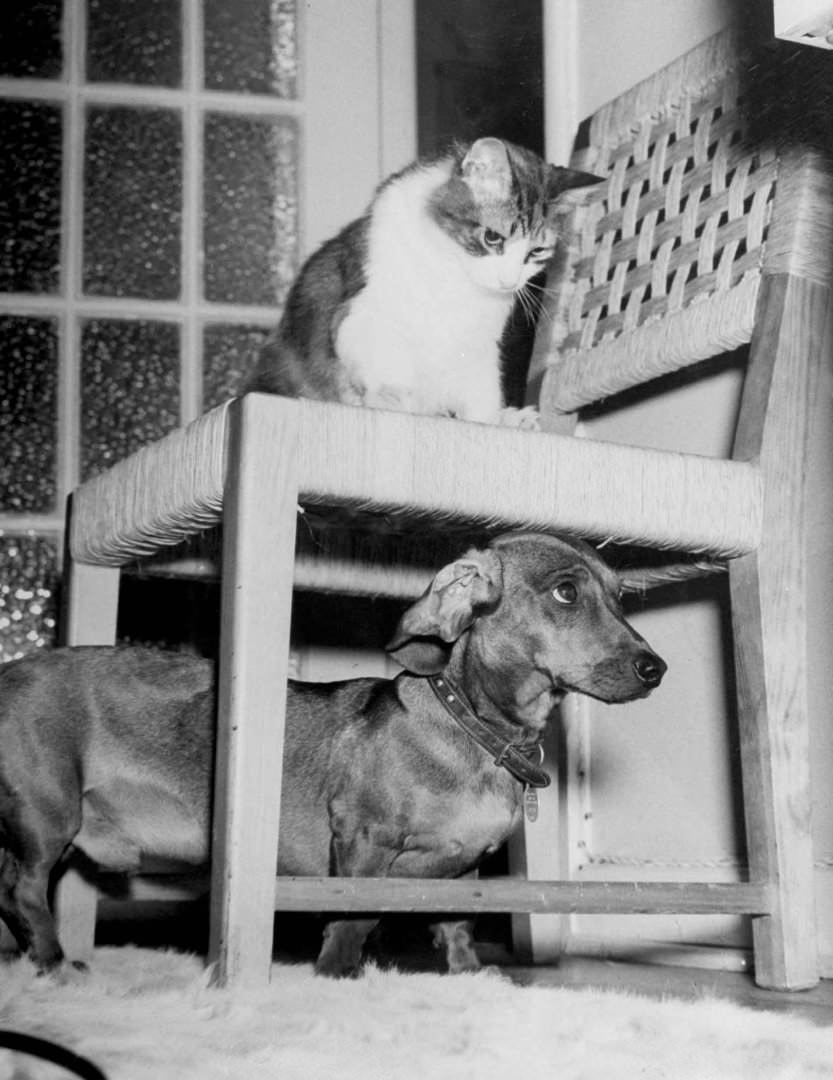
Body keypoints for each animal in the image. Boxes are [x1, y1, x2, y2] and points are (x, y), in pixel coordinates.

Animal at [247, 133, 600, 421]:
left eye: (536, 252)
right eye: (492, 238)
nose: (509, 282)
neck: (455, 276)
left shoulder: (478, 346)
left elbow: (482, 400)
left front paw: (495, 420)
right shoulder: (363, 315)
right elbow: (385, 365)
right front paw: (391, 398)